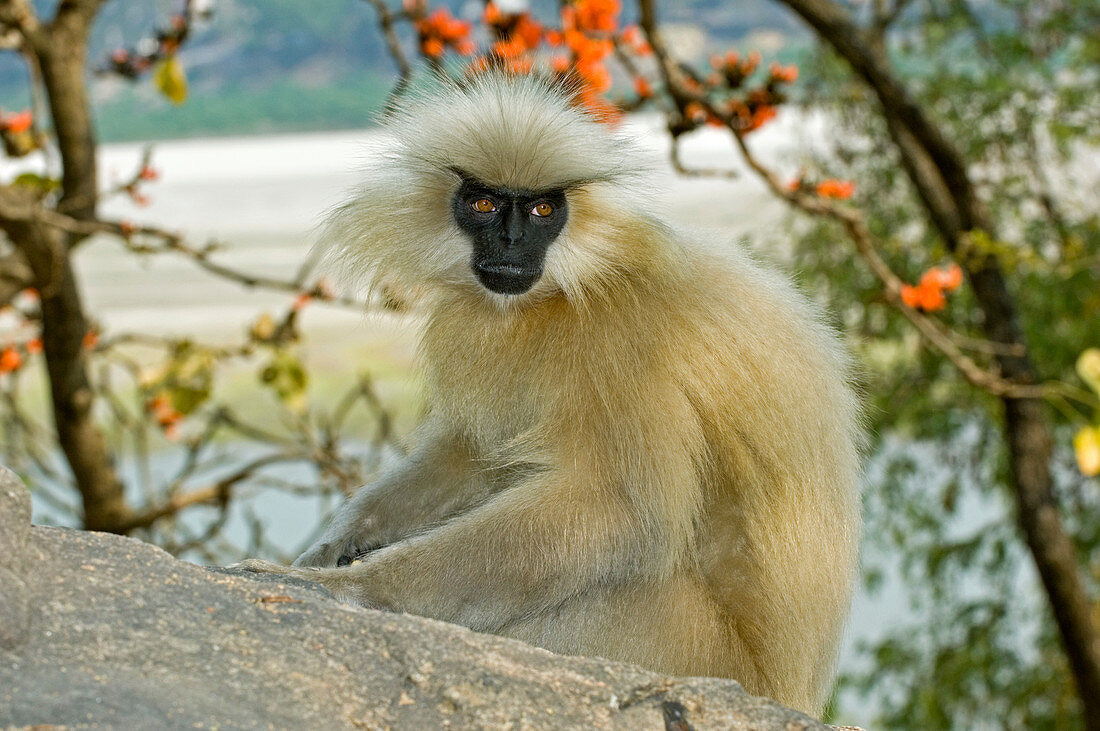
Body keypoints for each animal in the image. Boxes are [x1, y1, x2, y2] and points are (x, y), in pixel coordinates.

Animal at [236, 72, 862, 712]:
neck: (568, 285)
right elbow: (478, 454)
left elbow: (616, 512)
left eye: (541, 209)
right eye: (484, 205)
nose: (513, 242)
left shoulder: (626, 338)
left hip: (679, 644)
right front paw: (336, 545)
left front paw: (344, 587)